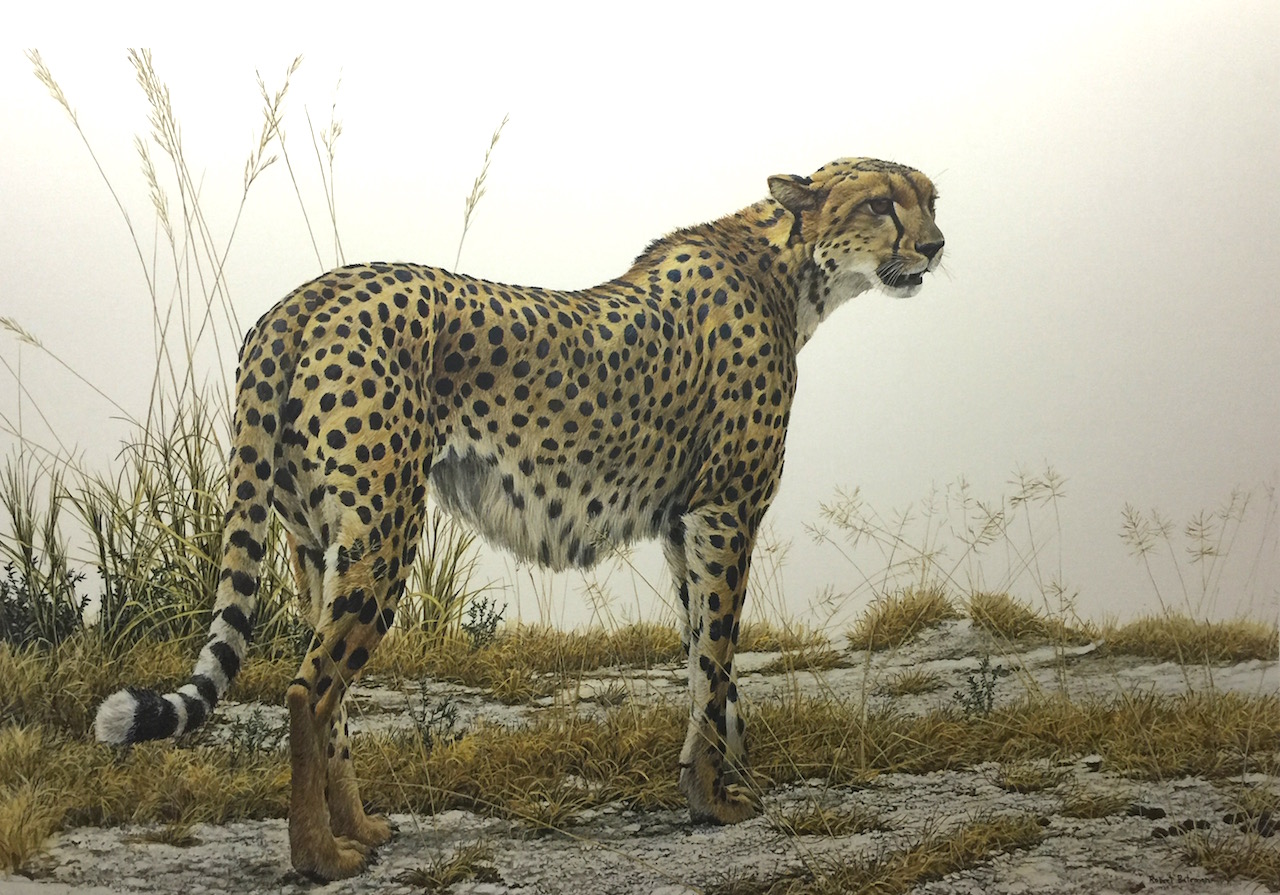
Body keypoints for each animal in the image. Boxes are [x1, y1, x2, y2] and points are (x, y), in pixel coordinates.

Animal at [95, 156, 944, 879]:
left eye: (929, 198)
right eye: (878, 203)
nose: (935, 246)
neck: (791, 267)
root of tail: (305, 296)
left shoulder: (685, 525)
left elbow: (711, 658)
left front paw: (724, 787)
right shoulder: (724, 513)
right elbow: (714, 664)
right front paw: (716, 798)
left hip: (315, 540)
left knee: (329, 691)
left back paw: (361, 828)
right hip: (385, 529)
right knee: (308, 689)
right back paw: (320, 858)